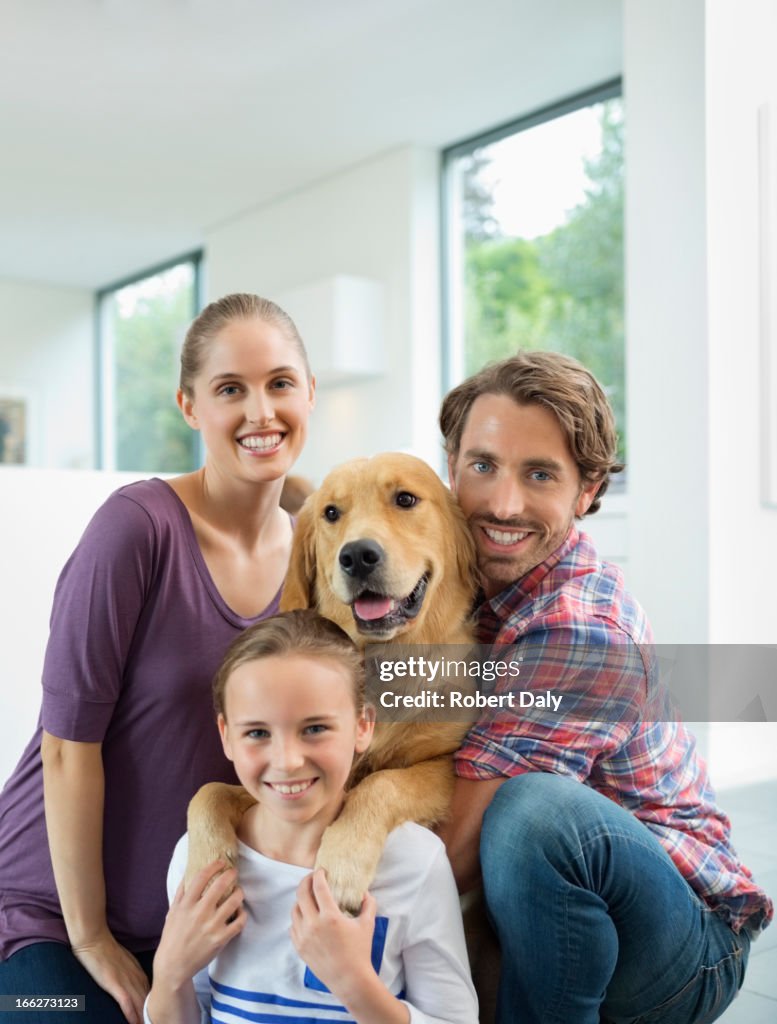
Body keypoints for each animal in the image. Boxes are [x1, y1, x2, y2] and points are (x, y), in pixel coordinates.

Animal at [188, 456, 481, 913]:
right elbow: (209, 790)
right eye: (330, 512)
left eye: (405, 499)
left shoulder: (445, 762)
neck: (380, 661)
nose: (358, 556)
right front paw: (205, 863)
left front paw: (342, 863)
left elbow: (383, 782)